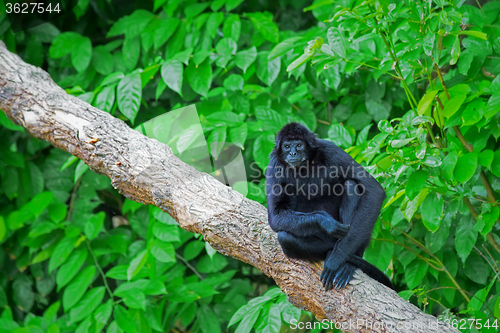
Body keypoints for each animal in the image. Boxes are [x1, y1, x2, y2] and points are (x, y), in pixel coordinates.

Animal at [268, 122, 392, 290]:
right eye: (287, 146)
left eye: (299, 145)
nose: (292, 153)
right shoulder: (274, 163)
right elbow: (275, 216)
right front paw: (325, 222)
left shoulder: (330, 149)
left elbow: (374, 190)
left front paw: (336, 260)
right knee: (285, 237)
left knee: (351, 185)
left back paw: (347, 262)